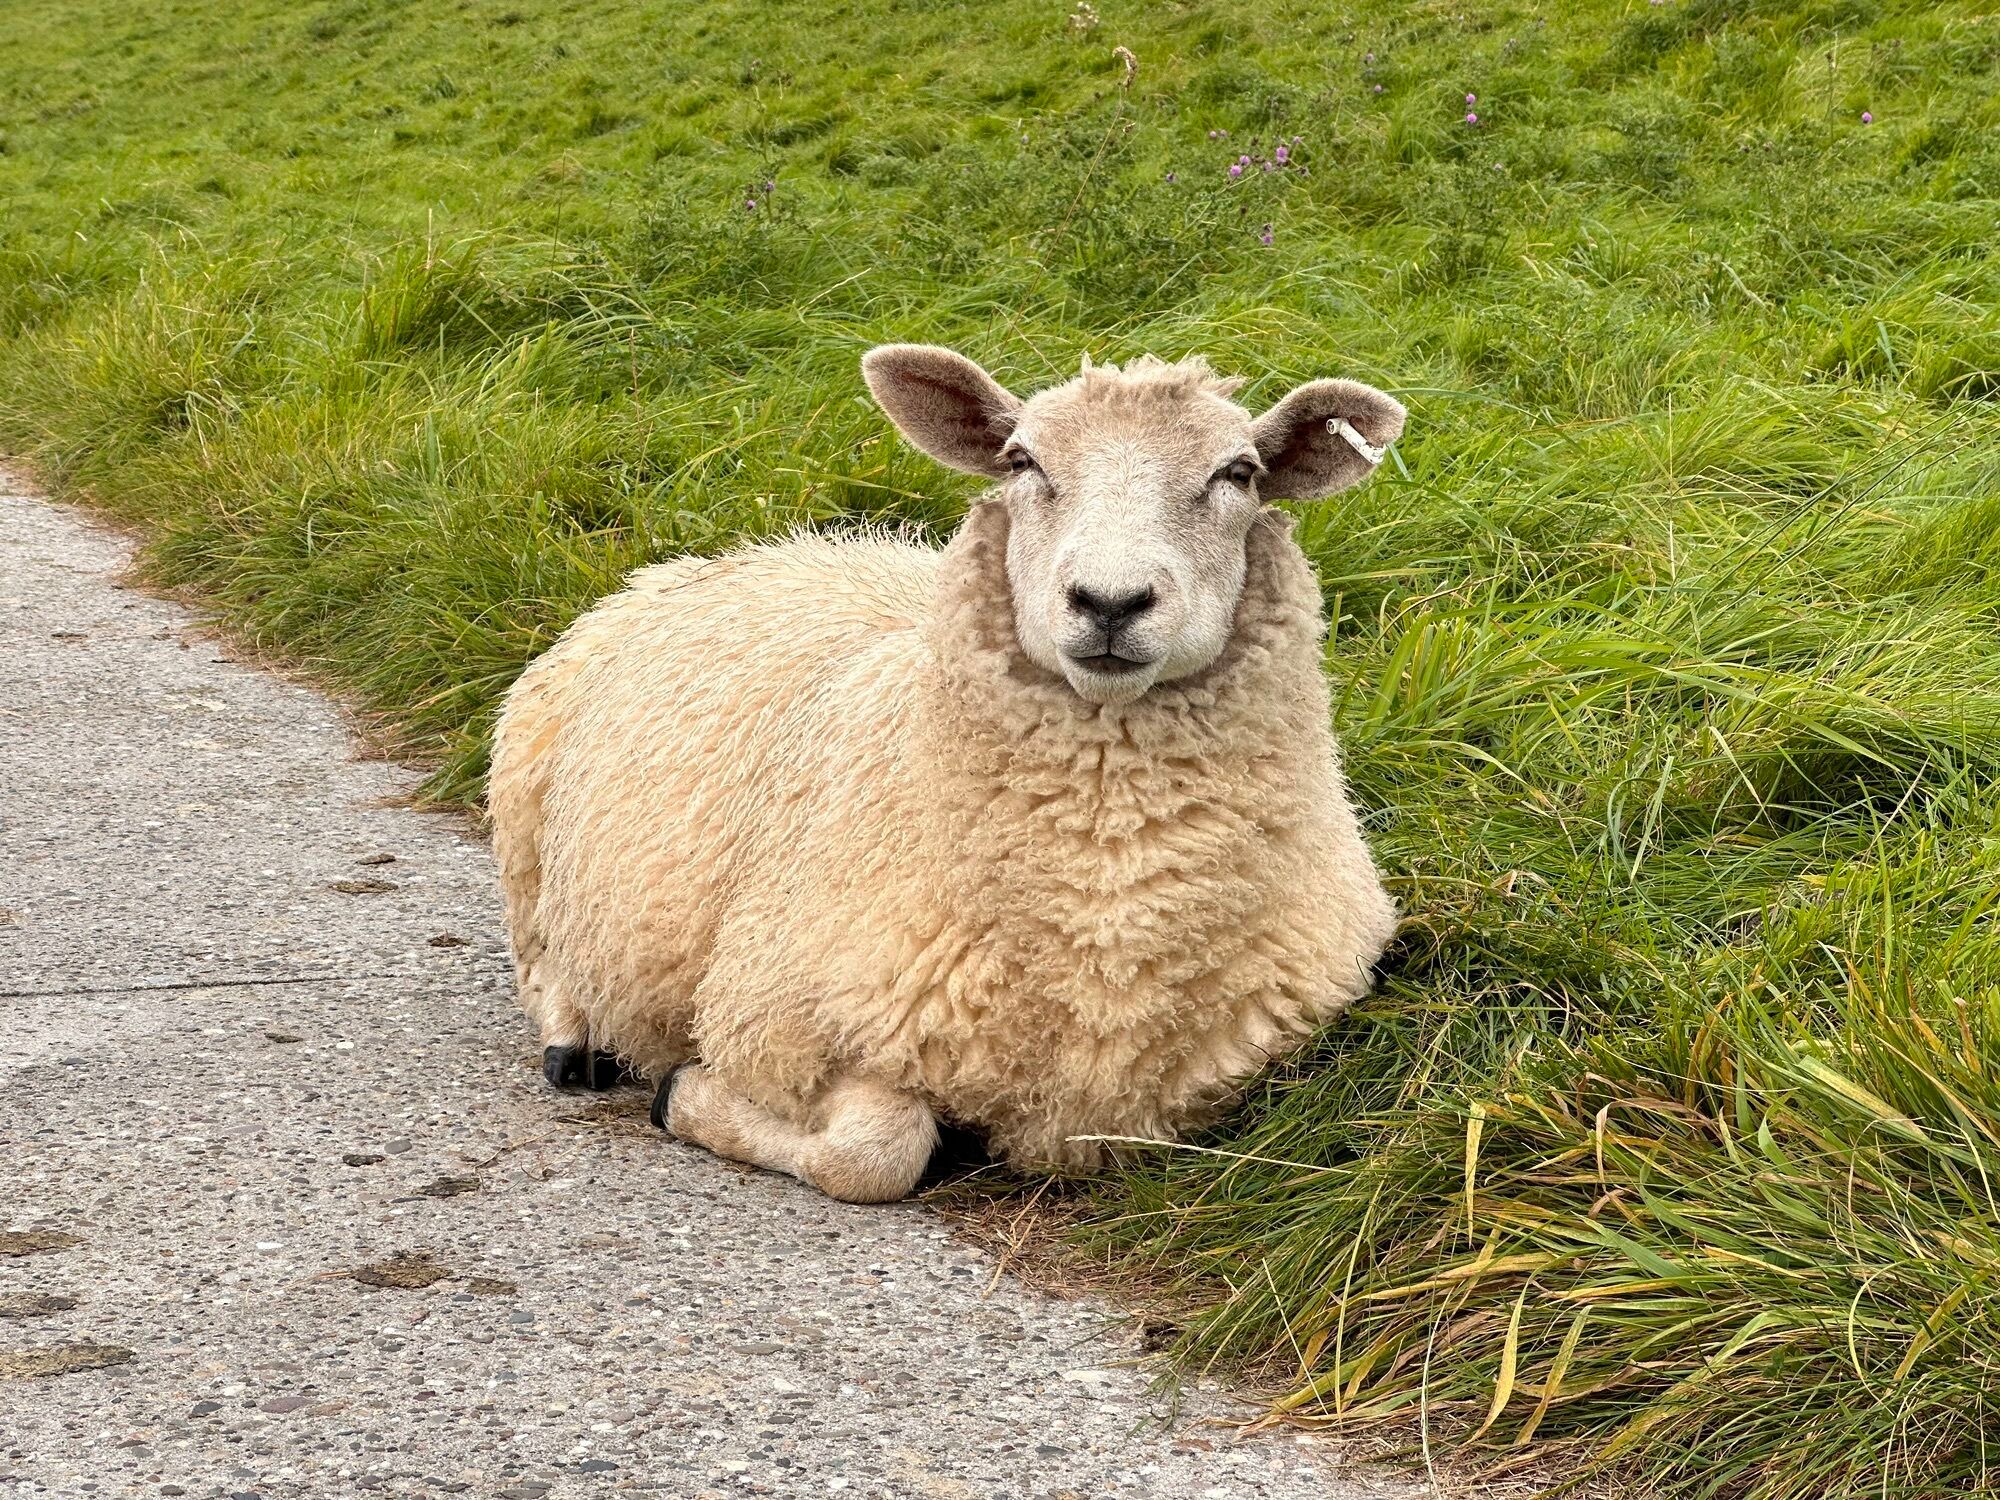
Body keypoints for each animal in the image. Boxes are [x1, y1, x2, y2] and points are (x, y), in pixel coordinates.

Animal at [488, 345, 1405, 1202]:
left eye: (1238, 473)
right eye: (1022, 461)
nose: (1110, 602)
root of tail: (763, 547)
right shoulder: (772, 1021)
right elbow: (876, 1154)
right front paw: (681, 1092)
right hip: (526, 799)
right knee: (540, 954)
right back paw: (576, 1045)